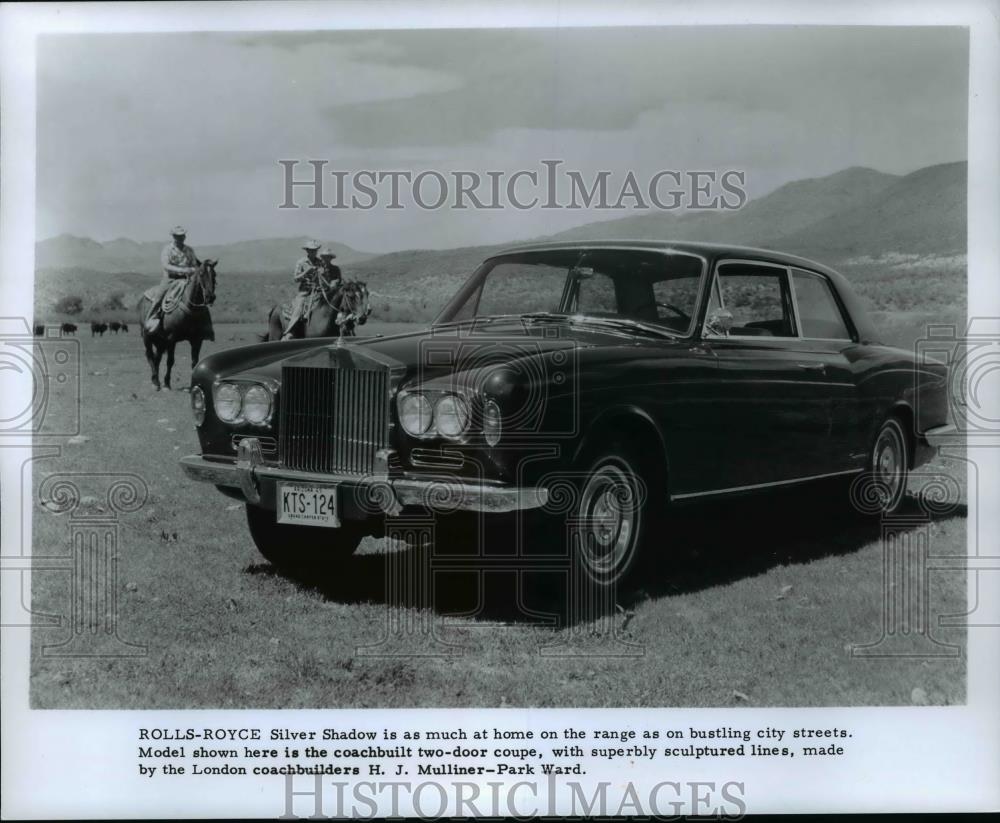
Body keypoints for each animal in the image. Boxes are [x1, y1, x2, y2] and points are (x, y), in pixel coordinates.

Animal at [139, 260, 217, 392]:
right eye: (201, 273)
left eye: (214, 274)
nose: (210, 297)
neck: (190, 308)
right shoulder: (172, 339)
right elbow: (170, 361)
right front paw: (166, 384)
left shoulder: (197, 340)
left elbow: (194, 362)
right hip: (147, 337)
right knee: (150, 356)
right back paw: (155, 382)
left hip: (160, 341)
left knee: (157, 358)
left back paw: (156, 380)